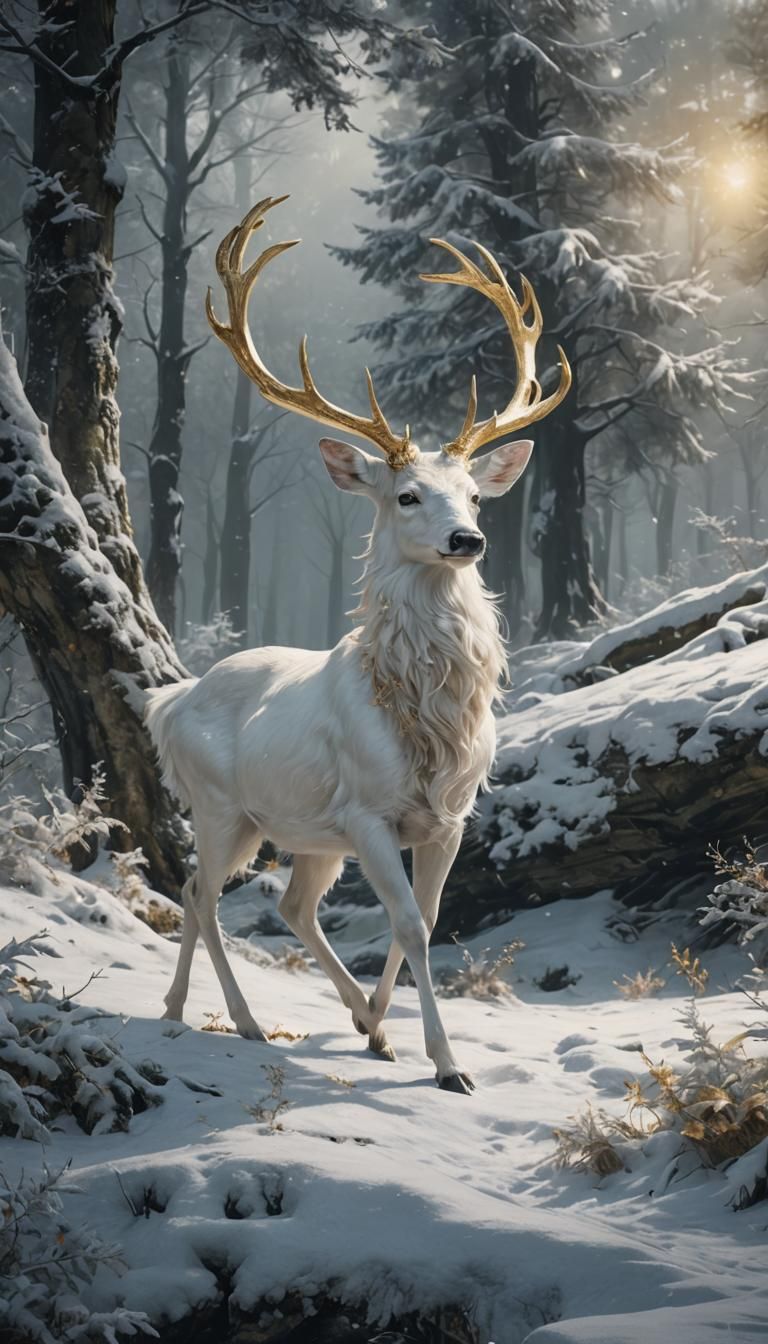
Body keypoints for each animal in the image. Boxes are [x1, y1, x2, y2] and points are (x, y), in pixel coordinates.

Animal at [143, 195, 570, 1094]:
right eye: (406, 494)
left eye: (475, 492)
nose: (468, 539)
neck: (428, 718)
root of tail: (170, 700)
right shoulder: (369, 809)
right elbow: (407, 925)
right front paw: (447, 1064)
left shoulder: (449, 816)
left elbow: (431, 917)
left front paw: (381, 1027)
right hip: (221, 804)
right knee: (201, 890)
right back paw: (227, 1017)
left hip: (305, 830)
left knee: (284, 903)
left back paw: (303, 1018)